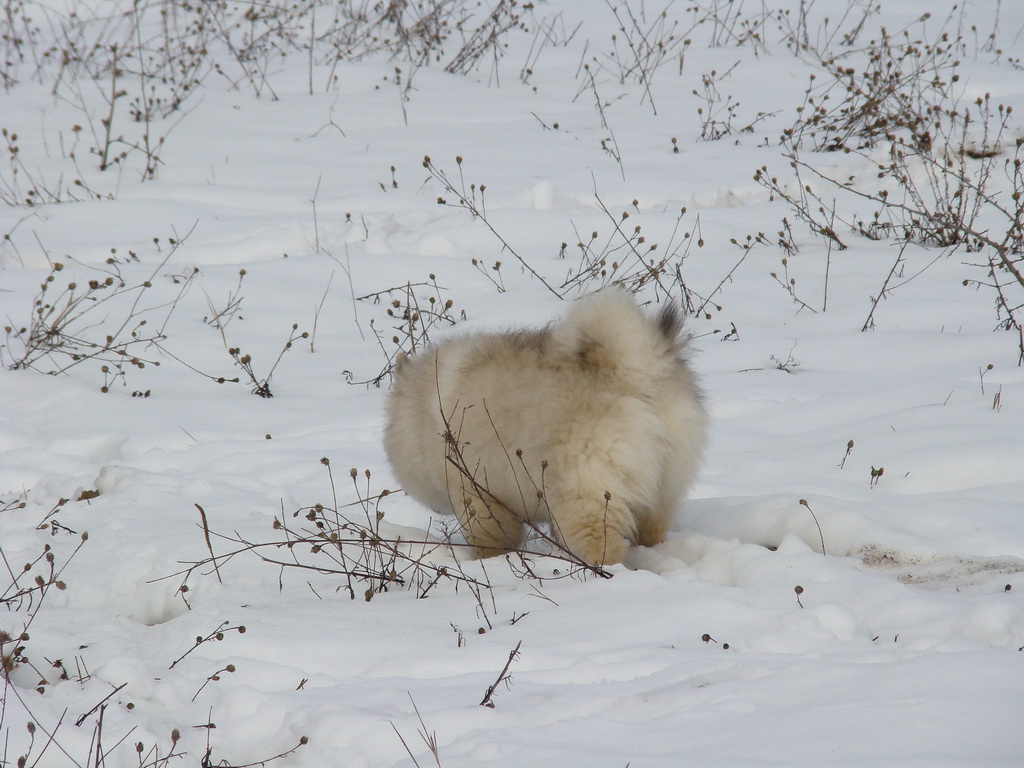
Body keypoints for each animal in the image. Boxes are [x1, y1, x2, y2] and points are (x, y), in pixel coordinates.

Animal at [380, 288, 708, 565]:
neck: (422, 413)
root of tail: (633, 370)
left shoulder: (478, 492)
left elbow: (491, 538)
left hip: (584, 488)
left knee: (603, 544)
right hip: (663, 487)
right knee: (651, 530)